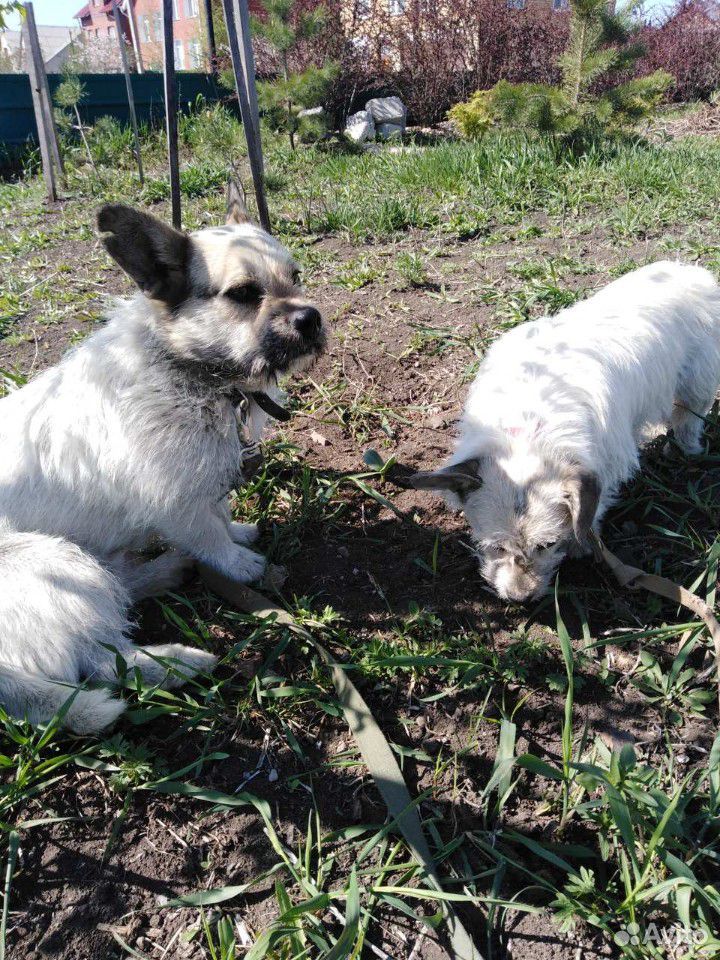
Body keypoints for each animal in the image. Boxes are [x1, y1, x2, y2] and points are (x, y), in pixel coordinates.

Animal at [0, 189, 326, 736]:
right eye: (243, 294)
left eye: (295, 276)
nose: (312, 318)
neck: (186, 370)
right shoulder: (175, 500)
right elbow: (208, 532)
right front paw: (238, 564)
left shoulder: (201, 478)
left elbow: (219, 514)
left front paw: (237, 535)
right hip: (56, 563)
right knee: (107, 661)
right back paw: (180, 658)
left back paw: (166, 574)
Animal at [408, 258, 720, 596]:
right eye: (496, 546)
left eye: (547, 545)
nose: (520, 599)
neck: (527, 428)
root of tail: (691, 271)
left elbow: (589, 513)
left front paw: (580, 545)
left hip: (698, 383)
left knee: (688, 419)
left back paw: (685, 450)